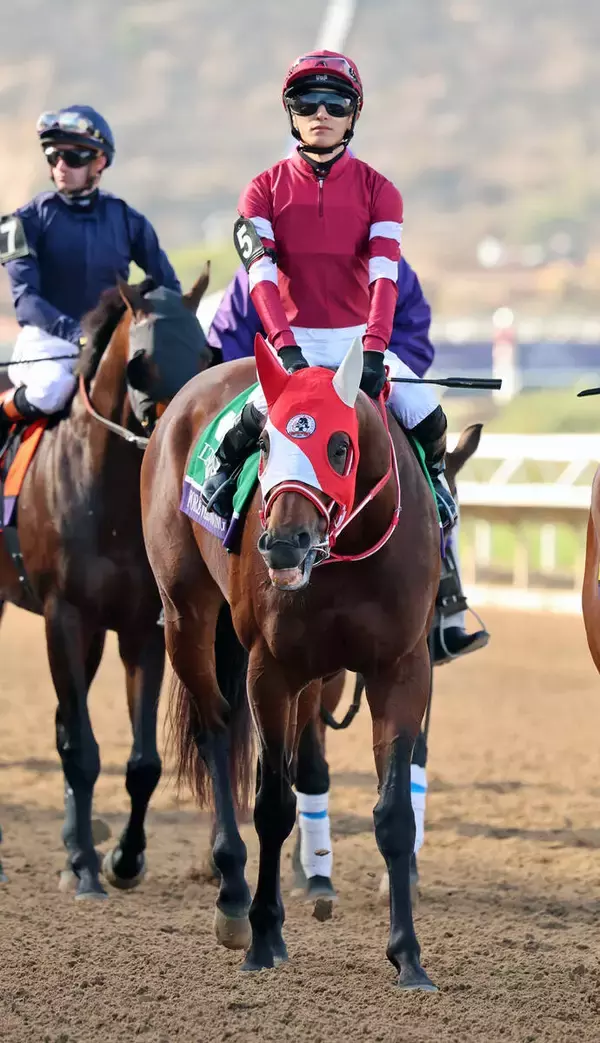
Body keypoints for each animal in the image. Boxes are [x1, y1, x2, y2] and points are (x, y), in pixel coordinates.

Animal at [0, 271, 211, 898]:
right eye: (140, 363)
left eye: (204, 354)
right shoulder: (65, 617)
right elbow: (82, 751)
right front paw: (88, 868)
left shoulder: (143, 625)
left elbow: (142, 763)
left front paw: (122, 858)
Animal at [142, 334, 442, 990]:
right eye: (263, 443)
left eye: (339, 446)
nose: (282, 546)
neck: (348, 556)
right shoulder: (270, 670)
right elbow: (271, 804)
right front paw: (261, 939)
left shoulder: (401, 669)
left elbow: (393, 816)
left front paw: (408, 956)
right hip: (185, 615)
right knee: (215, 731)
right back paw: (233, 897)